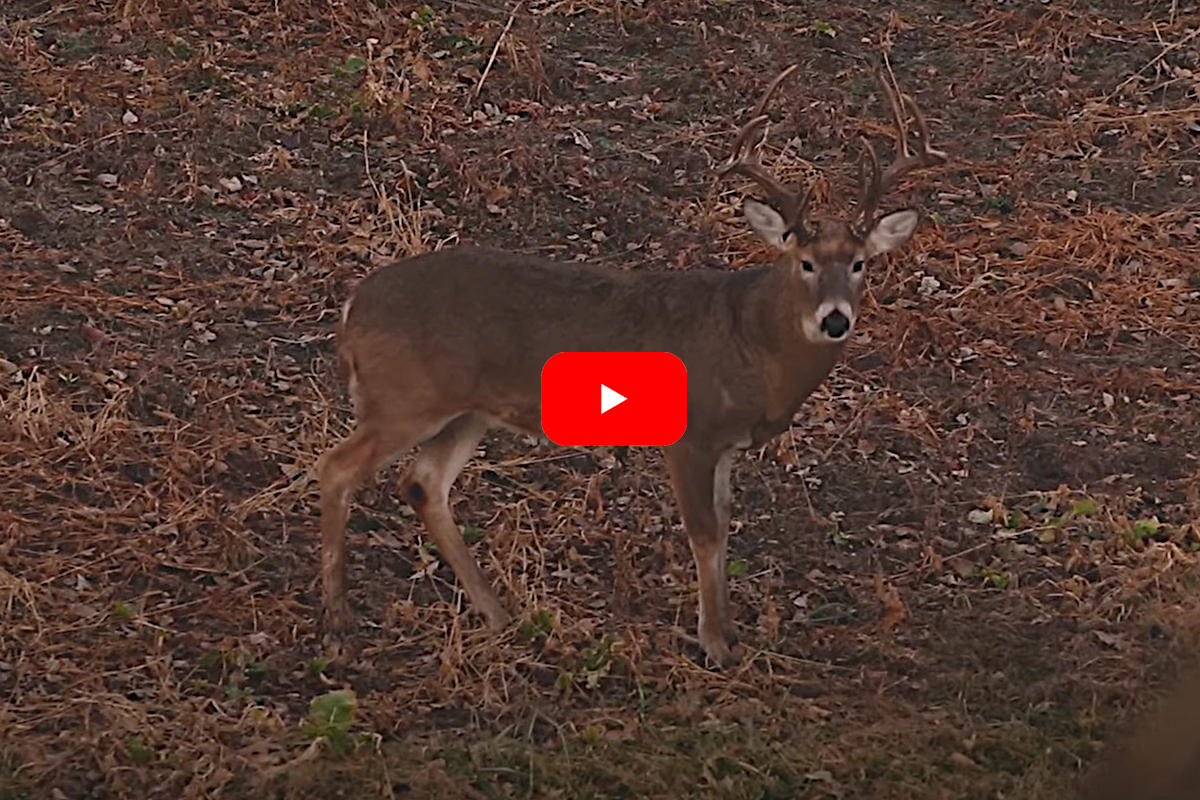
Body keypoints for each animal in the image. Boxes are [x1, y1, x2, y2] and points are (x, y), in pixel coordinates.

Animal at [316, 64, 945, 671]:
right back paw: (340, 616)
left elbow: (724, 523)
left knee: (424, 483)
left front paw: (729, 633)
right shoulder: (689, 434)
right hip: (405, 397)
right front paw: (714, 645)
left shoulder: (726, 444)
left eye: (860, 264)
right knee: (338, 467)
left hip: (465, 411)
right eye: (806, 262)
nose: (835, 320)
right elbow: (704, 533)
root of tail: (352, 308)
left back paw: (497, 614)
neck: (749, 340)